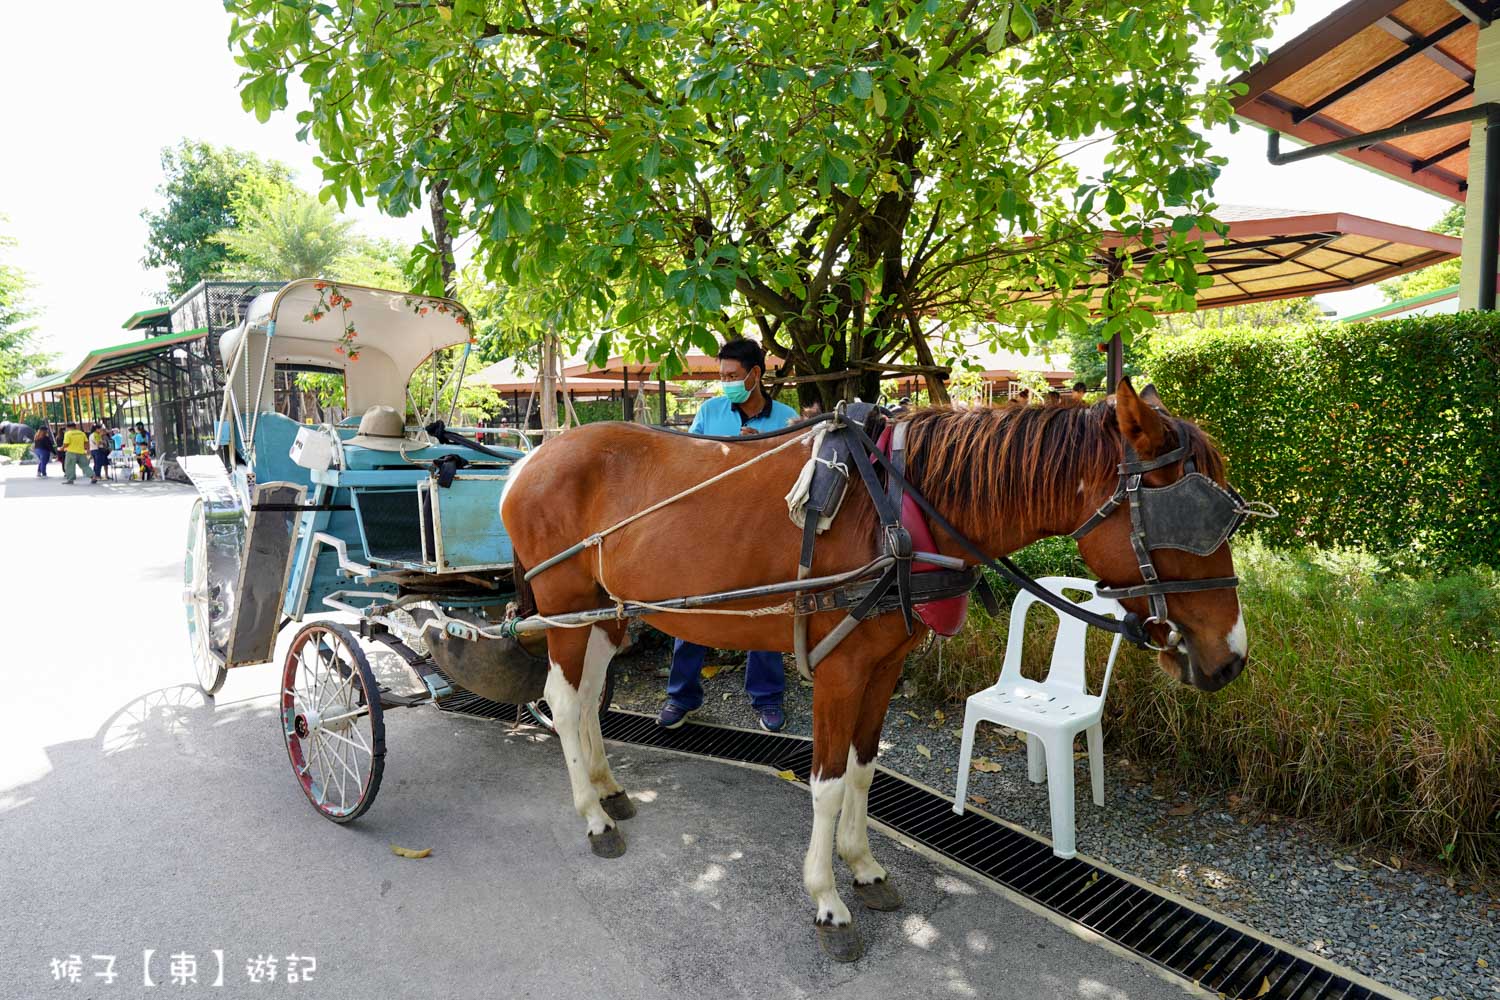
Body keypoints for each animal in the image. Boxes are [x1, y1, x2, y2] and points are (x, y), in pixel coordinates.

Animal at [498, 380, 1248, 959]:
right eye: (1193, 514)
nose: (1231, 657)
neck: (901, 512)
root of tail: (530, 457)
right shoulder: (840, 672)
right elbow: (828, 784)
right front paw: (827, 900)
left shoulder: (885, 666)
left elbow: (863, 768)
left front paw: (861, 866)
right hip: (564, 604)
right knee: (565, 700)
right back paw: (593, 817)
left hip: (604, 609)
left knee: (590, 693)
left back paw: (609, 788)